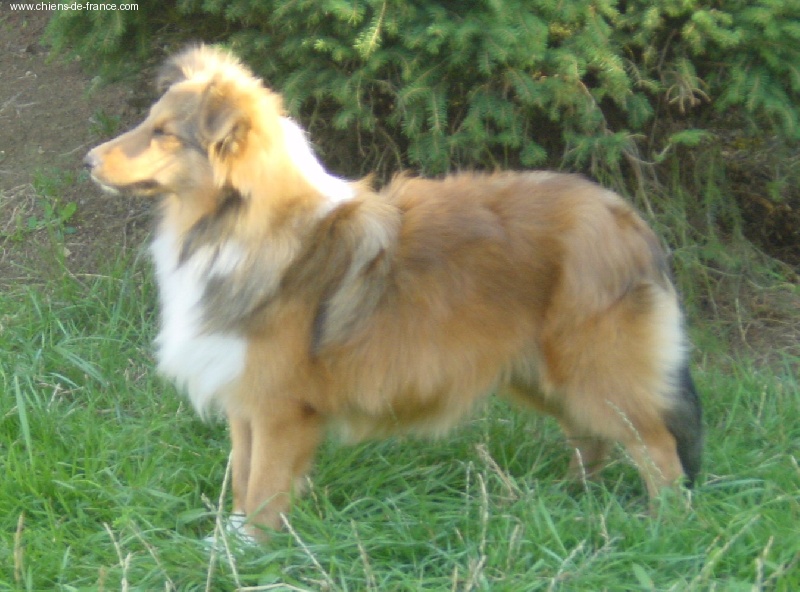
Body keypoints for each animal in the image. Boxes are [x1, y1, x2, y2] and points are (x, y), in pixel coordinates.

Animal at [84, 45, 702, 540]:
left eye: (164, 133)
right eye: (148, 121)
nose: (87, 160)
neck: (235, 226)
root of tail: (628, 218)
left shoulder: (282, 408)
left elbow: (263, 487)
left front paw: (251, 553)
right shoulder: (244, 396)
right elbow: (242, 477)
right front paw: (227, 543)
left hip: (595, 370)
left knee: (659, 450)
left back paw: (663, 529)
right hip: (540, 372)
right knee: (590, 439)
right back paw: (569, 502)